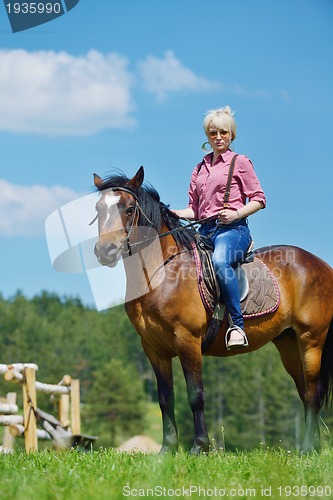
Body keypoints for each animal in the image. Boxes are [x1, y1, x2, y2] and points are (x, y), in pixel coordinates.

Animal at [92, 167, 332, 454]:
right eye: (98, 209)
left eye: (129, 209)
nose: (104, 251)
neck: (161, 274)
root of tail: (320, 264)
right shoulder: (153, 348)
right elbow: (165, 398)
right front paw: (167, 450)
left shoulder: (187, 340)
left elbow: (195, 395)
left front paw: (200, 447)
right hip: (287, 342)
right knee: (305, 391)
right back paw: (313, 447)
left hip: (311, 340)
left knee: (312, 392)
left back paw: (307, 447)